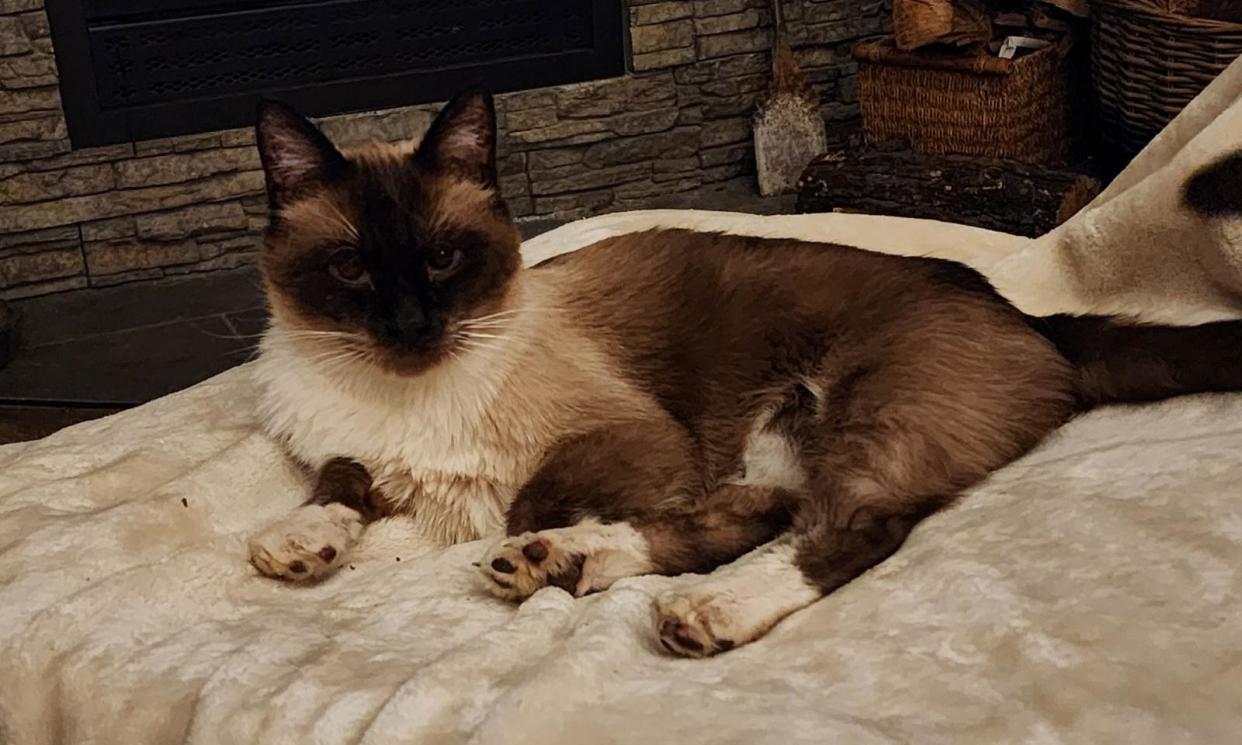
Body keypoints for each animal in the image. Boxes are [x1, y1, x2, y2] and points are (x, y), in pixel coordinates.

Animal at [247, 88, 1242, 655]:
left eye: (446, 258)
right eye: (350, 269)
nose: (412, 325)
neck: (406, 389)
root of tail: (1024, 310)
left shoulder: (639, 444)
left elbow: (523, 499)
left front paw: (518, 543)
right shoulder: (361, 456)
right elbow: (342, 480)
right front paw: (301, 544)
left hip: (870, 419)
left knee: (845, 532)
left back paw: (685, 603)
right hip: (779, 441)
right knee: (757, 516)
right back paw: (577, 562)